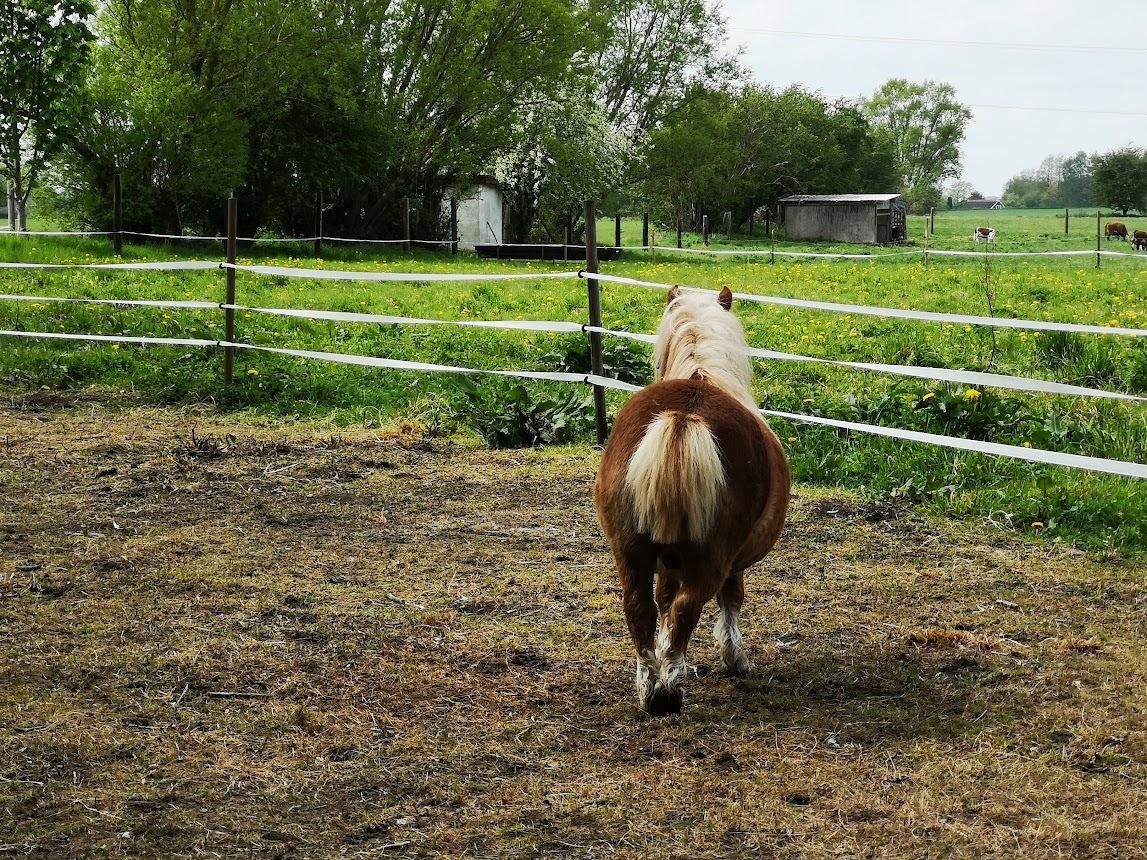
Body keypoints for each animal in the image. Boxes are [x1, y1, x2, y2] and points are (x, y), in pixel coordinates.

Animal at [591, 286, 789, 715]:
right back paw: (670, 689)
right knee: (687, 608)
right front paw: (734, 659)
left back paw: (650, 687)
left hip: (630, 552)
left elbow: (663, 602)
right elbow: (730, 601)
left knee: (639, 609)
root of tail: (684, 414)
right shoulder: (732, 563)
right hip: (710, 559)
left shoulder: (666, 562)